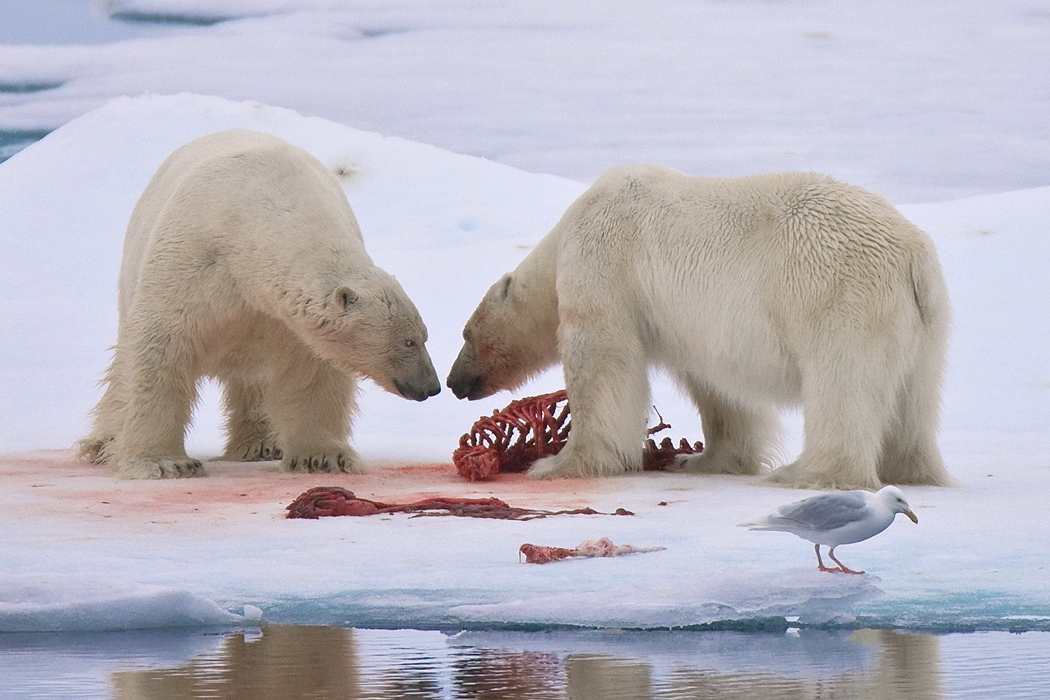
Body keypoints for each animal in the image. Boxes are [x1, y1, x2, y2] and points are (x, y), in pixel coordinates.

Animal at [78, 128, 438, 478]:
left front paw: (323, 457)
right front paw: (166, 464)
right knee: (124, 363)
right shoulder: (193, 266)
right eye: (409, 341)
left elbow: (311, 372)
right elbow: (163, 349)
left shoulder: (285, 319)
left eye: (423, 337)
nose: (431, 386)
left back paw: (260, 445)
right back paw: (102, 444)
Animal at [447, 166, 957, 491]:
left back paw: (804, 473)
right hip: (925, 326)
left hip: (839, 297)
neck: (566, 235)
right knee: (913, 402)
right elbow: (721, 390)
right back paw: (912, 470)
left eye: (466, 335)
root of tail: (914, 256)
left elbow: (603, 362)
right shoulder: (699, 329)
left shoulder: (604, 266)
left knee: (842, 386)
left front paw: (559, 463)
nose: (453, 382)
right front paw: (697, 459)